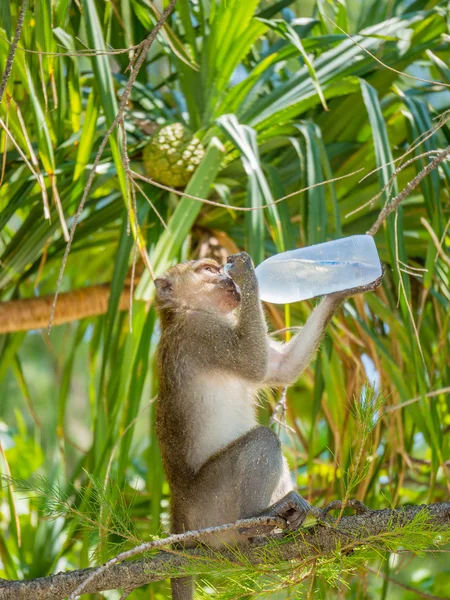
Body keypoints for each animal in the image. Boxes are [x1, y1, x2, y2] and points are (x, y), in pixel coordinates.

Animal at [155, 251, 384, 596]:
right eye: (208, 269)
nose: (226, 277)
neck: (187, 311)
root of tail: (179, 513)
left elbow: (282, 368)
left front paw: (343, 284)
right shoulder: (202, 333)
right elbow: (254, 362)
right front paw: (248, 274)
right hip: (210, 509)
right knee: (262, 440)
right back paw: (255, 519)